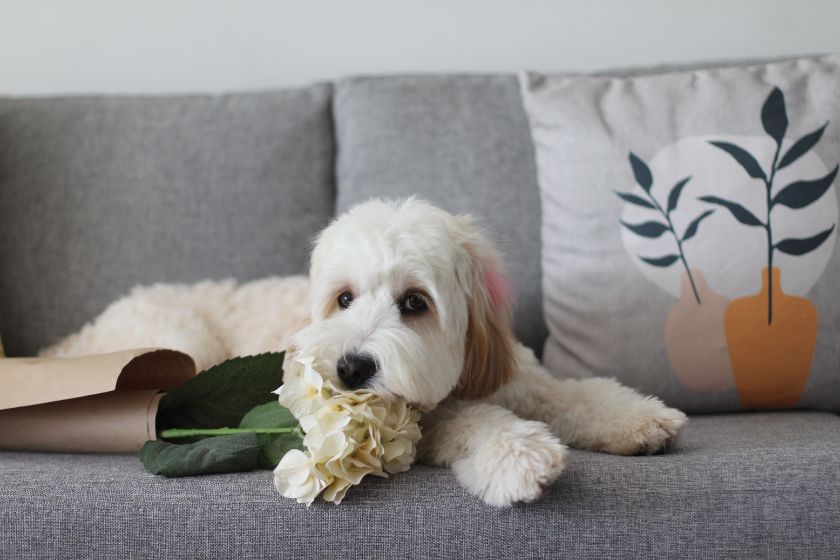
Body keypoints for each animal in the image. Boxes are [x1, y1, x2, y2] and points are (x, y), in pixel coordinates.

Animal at [42, 198, 684, 508]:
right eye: (344, 298)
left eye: (416, 302)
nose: (351, 367)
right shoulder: (426, 422)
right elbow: (477, 423)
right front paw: (521, 458)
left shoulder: (521, 378)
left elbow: (579, 393)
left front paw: (638, 417)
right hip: (180, 343)